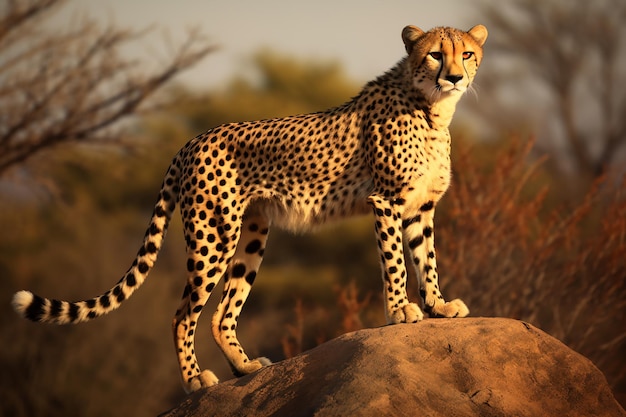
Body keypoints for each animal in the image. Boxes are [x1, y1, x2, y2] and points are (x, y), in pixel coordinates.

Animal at [11, 24, 488, 392]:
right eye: (434, 55)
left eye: (466, 53)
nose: (455, 77)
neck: (433, 109)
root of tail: (192, 139)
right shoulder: (386, 200)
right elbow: (395, 263)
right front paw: (400, 310)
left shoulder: (421, 208)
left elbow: (427, 260)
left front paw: (438, 306)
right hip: (213, 235)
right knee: (182, 315)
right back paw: (195, 381)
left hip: (252, 232)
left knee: (222, 313)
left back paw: (244, 368)